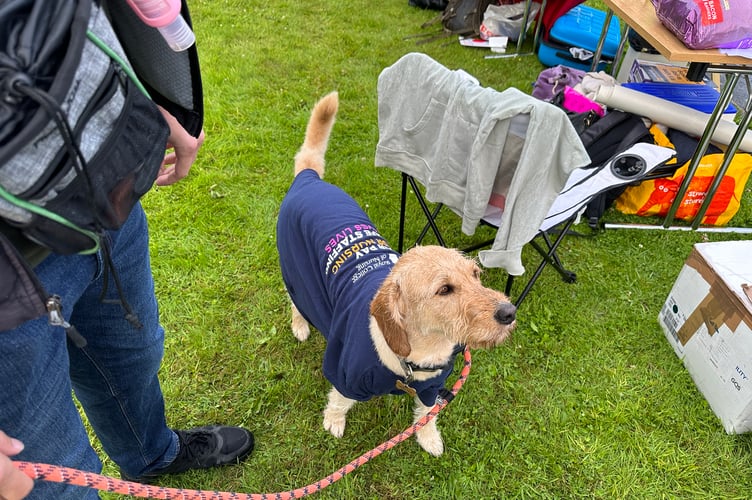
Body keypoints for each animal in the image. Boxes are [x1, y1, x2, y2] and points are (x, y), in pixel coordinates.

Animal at [276, 91, 516, 458]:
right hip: (297, 273)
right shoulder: (345, 374)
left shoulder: (433, 388)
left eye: (476, 274)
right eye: (444, 290)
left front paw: (428, 438)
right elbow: (340, 400)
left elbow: (427, 413)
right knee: (295, 301)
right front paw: (333, 422)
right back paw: (300, 325)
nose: (509, 312)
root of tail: (309, 180)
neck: (418, 355)